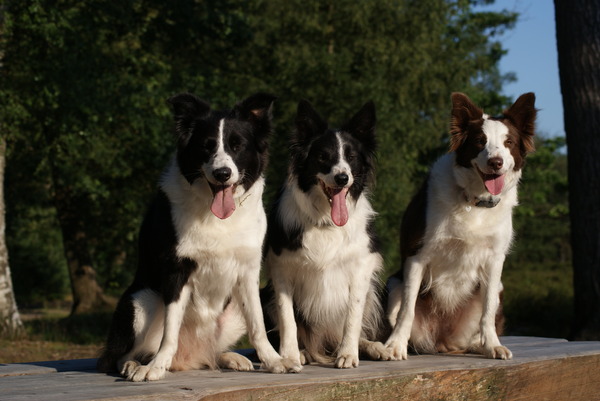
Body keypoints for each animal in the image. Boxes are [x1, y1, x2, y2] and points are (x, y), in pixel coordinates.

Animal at [97, 92, 300, 380]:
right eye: (206, 146)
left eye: (237, 146)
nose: (222, 174)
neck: (216, 216)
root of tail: (187, 358)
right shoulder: (176, 269)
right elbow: (169, 331)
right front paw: (155, 368)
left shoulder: (248, 272)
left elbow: (258, 326)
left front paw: (274, 361)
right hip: (142, 299)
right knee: (117, 356)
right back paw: (136, 365)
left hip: (233, 308)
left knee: (212, 352)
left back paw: (230, 357)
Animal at [262, 100, 390, 368]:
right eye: (323, 157)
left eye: (351, 157)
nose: (342, 178)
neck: (326, 221)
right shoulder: (280, 269)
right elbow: (288, 319)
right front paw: (290, 356)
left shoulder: (362, 266)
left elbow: (352, 317)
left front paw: (348, 354)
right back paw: (303, 352)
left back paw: (374, 347)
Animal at [384, 93, 540, 360]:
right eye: (480, 141)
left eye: (508, 142)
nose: (496, 162)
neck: (474, 201)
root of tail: (442, 341)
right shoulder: (416, 255)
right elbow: (407, 309)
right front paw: (395, 346)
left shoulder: (495, 260)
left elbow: (487, 312)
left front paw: (492, 345)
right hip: (393, 283)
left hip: (498, 288)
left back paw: (481, 344)